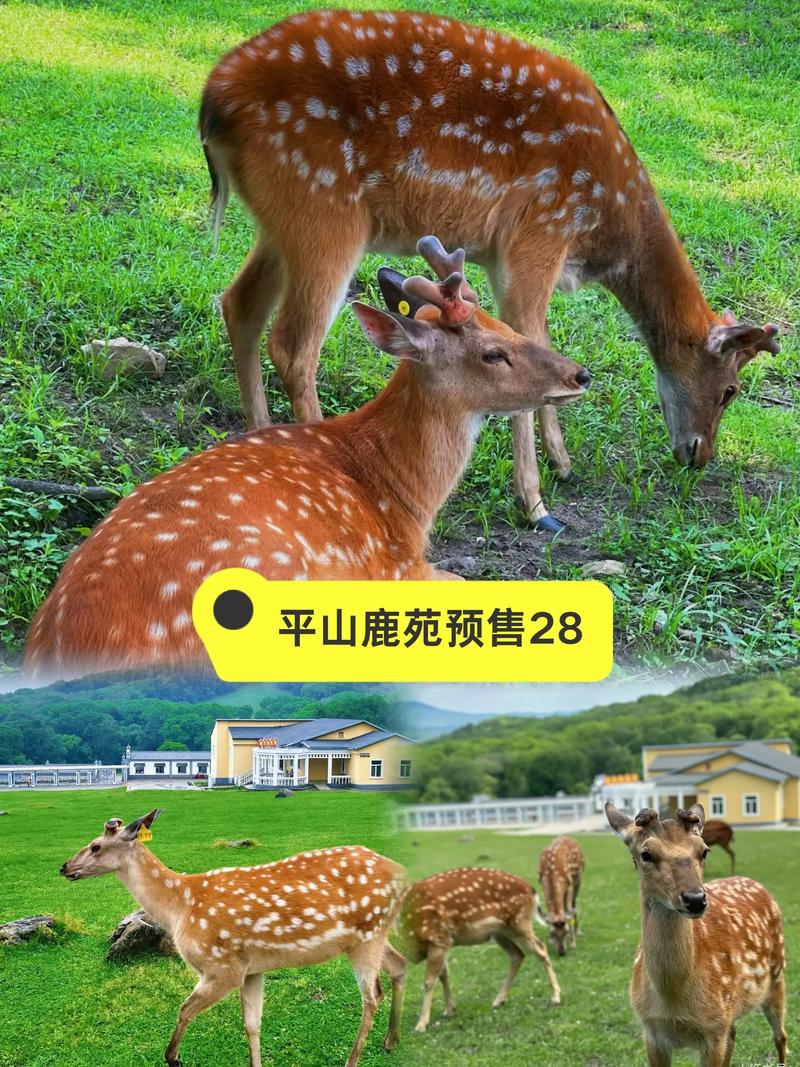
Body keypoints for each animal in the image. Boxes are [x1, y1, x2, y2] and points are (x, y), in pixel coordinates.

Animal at [59, 809, 408, 1067]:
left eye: (95, 846)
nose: (64, 867)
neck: (181, 907)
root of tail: (402, 873)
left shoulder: (222, 966)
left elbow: (184, 1009)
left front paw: (173, 1058)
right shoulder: (252, 968)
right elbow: (252, 1024)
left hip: (367, 934)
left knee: (372, 995)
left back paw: (354, 1059)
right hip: (373, 934)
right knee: (400, 965)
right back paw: (391, 1041)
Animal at [200, 9, 781, 533]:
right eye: (731, 390)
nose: (698, 455)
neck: (604, 225)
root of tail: (212, 103)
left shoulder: (500, 257)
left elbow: (535, 342)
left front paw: (563, 465)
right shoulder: (539, 233)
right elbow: (529, 342)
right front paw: (538, 506)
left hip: (282, 222)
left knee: (239, 303)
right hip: (324, 208)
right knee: (293, 344)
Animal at [397, 866, 561, 1033]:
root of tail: (532, 890)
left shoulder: (438, 938)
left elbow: (429, 981)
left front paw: (421, 1024)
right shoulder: (441, 944)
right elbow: (444, 975)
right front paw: (449, 1010)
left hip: (520, 922)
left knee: (541, 949)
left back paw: (556, 997)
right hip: (501, 932)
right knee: (518, 954)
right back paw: (499, 1000)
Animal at [605, 803, 787, 1067]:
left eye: (704, 851)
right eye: (646, 854)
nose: (695, 899)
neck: (673, 999)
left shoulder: (714, 1030)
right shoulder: (650, 1029)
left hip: (777, 974)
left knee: (781, 1036)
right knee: (736, 1034)